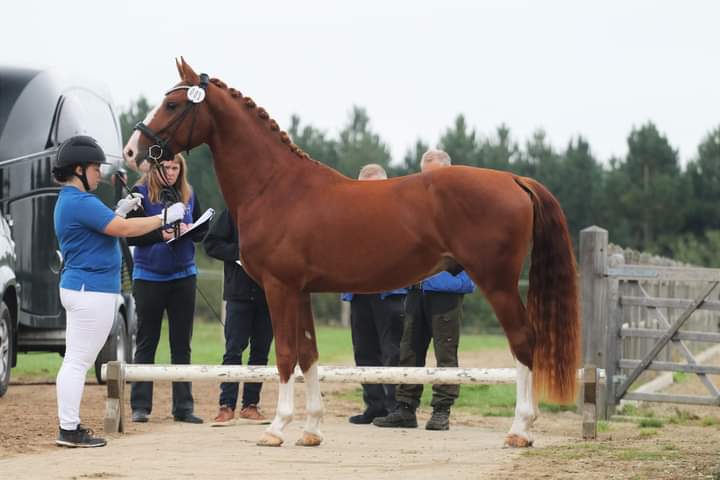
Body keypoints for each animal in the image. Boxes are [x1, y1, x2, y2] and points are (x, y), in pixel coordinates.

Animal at [124, 59, 584, 446]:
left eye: (172, 103)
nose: (132, 151)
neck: (275, 186)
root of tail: (514, 179)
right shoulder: (301, 291)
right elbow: (308, 355)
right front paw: (311, 430)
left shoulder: (279, 288)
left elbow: (285, 356)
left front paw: (276, 429)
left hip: (497, 281)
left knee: (524, 342)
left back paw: (520, 430)